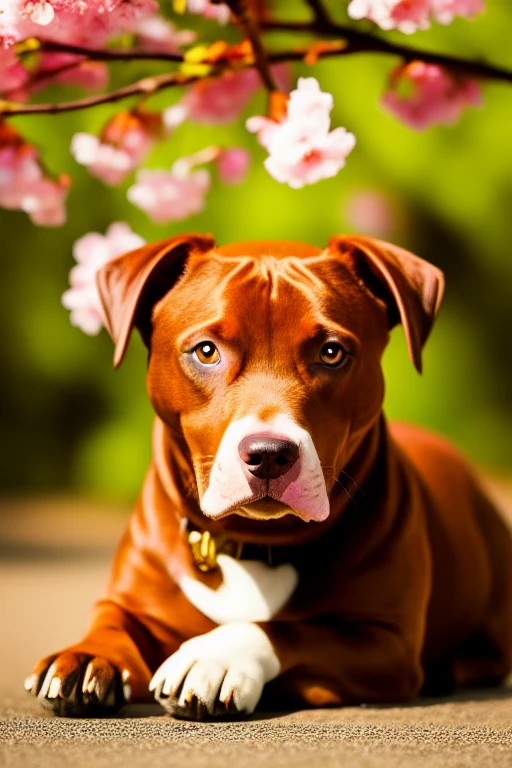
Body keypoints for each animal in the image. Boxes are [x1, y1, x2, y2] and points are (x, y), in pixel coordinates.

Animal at [26, 236, 512, 720]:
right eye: (206, 351)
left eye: (331, 352)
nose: (269, 454)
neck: (255, 547)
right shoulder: (131, 599)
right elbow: (112, 621)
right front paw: (89, 655)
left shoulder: (387, 643)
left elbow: (291, 630)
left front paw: (214, 658)